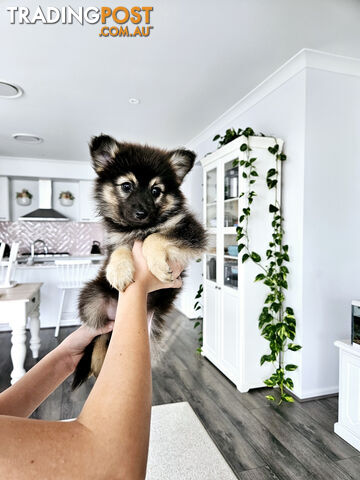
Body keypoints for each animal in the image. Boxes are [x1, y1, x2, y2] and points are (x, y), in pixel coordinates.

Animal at [72, 133, 207, 388]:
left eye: (156, 191)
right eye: (127, 186)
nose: (142, 214)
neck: (138, 229)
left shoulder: (190, 230)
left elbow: (155, 237)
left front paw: (158, 265)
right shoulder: (116, 239)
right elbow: (120, 250)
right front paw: (118, 271)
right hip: (93, 300)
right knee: (99, 334)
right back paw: (97, 363)